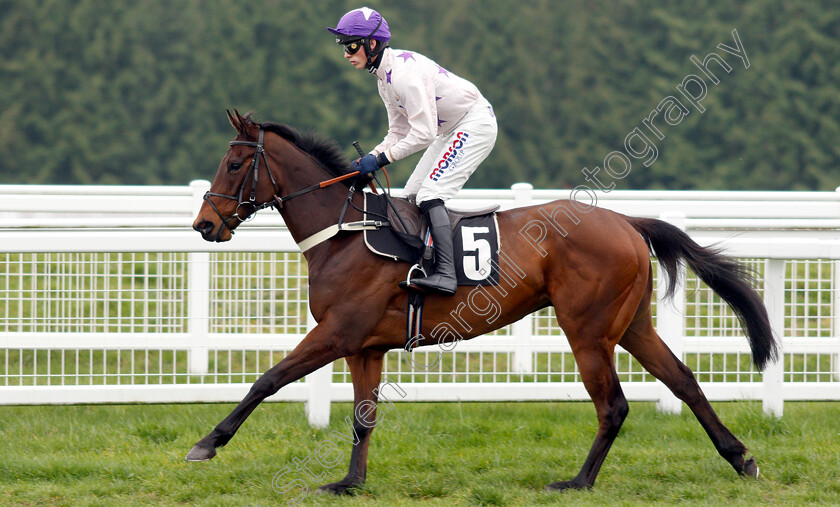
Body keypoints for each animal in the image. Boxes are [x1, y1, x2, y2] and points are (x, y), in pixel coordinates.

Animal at [187, 111, 776, 496]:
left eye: (234, 164)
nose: (205, 225)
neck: (345, 233)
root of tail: (626, 221)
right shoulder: (365, 346)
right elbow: (363, 416)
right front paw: (349, 482)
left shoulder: (338, 332)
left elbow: (268, 380)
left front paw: (208, 443)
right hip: (631, 324)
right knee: (683, 380)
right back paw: (740, 458)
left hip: (587, 330)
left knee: (613, 404)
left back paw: (578, 481)